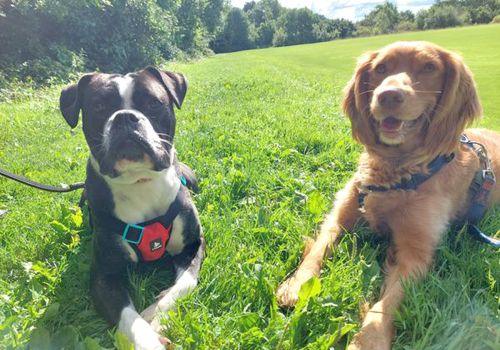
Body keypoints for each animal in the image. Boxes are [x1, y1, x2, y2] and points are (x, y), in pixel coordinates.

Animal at [59, 67, 205, 348]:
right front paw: (148, 337)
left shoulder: (193, 246)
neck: (140, 181)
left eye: (153, 103)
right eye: (99, 106)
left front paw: (156, 313)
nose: (125, 117)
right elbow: (128, 317)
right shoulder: (104, 276)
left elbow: (184, 284)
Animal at [276, 41, 500, 350]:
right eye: (380, 68)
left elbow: (387, 302)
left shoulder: (416, 253)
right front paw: (297, 285)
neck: (396, 170)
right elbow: (318, 251)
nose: (388, 95)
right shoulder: (339, 218)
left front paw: (369, 339)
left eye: (429, 67)